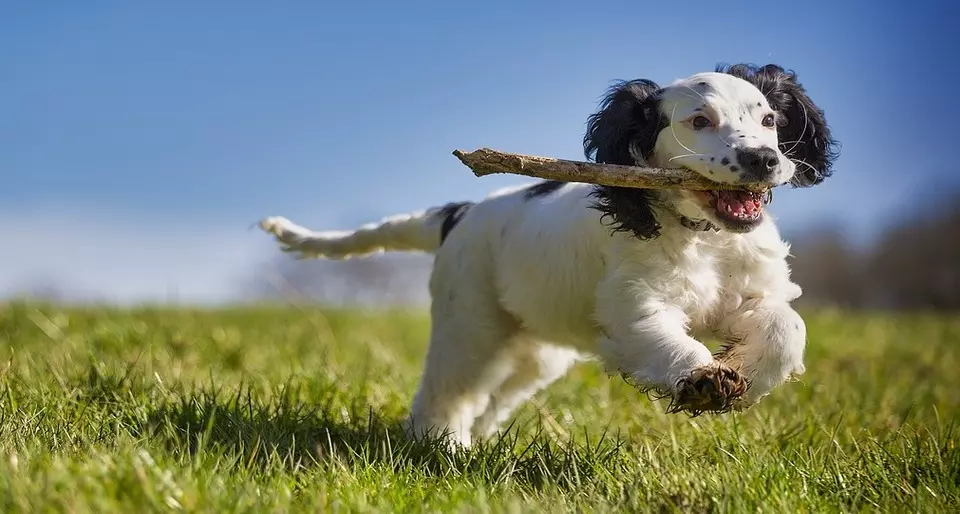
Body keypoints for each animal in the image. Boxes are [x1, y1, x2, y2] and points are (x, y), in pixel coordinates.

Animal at [258, 63, 836, 448]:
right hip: (471, 325)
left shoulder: (754, 293)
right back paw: (443, 447)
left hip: (535, 352)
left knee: (492, 398)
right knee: (447, 392)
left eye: (768, 119)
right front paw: (703, 381)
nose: (764, 160)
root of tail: (460, 213)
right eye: (699, 121)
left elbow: (787, 329)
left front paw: (743, 374)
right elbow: (667, 340)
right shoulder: (635, 308)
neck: (704, 236)